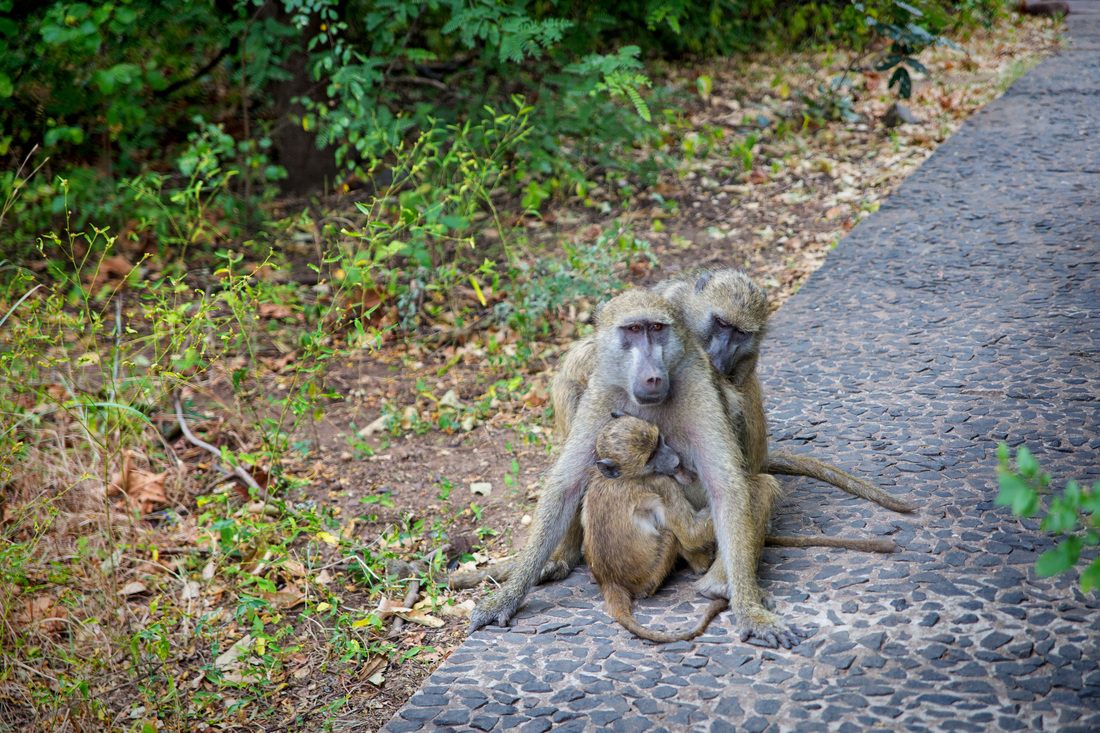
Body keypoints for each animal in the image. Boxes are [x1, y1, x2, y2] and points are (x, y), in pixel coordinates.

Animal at [471, 288, 807, 648]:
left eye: (657, 329)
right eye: (632, 330)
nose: (653, 375)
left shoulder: (697, 387)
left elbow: (726, 489)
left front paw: (750, 613)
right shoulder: (602, 392)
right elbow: (565, 486)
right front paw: (506, 597)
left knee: (758, 488)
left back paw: (717, 584)